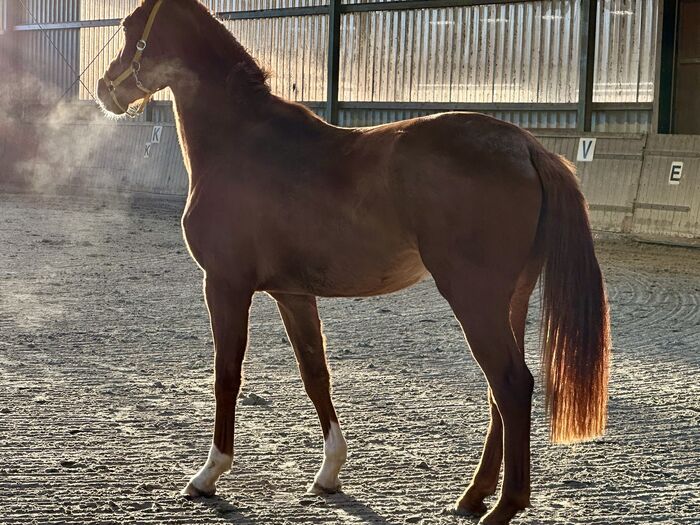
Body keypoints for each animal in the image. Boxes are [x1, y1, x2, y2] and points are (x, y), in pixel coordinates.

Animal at [97, 1, 611, 523]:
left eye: (129, 27)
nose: (104, 88)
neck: (241, 142)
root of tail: (526, 146)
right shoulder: (292, 293)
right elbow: (315, 374)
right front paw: (329, 472)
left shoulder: (225, 285)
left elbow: (227, 374)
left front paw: (208, 474)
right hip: (510, 301)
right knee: (498, 393)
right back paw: (473, 495)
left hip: (475, 300)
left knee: (511, 384)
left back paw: (504, 505)